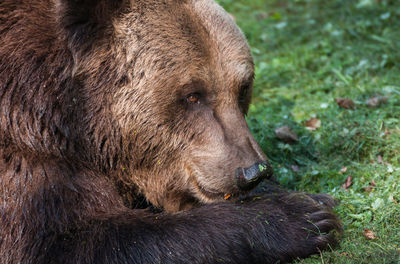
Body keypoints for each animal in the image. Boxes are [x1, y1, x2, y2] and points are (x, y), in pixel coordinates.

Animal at [0, 0, 340, 262]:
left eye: (243, 88)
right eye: (193, 95)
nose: (252, 171)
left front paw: (313, 198)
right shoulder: (29, 158)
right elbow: (68, 240)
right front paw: (302, 218)